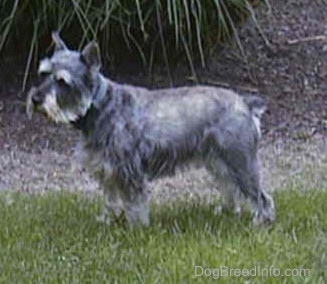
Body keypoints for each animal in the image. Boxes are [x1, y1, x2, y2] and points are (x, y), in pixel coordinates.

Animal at [26, 31, 276, 226]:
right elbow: (111, 200)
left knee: (261, 197)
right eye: (43, 73)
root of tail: (245, 104)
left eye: (62, 81)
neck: (100, 105)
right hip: (220, 163)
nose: (36, 99)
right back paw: (226, 212)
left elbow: (134, 204)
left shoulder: (129, 172)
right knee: (231, 189)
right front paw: (107, 220)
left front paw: (136, 228)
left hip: (240, 162)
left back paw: (260, 222)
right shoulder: (107, 171)